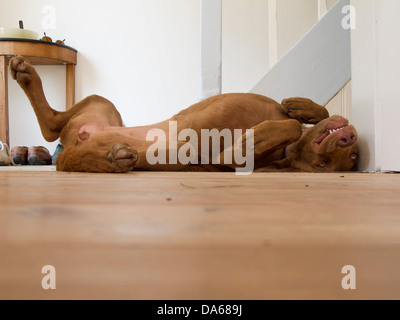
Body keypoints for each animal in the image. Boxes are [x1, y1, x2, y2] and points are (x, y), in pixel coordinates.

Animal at [9, 56, 360, 174]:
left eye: (323, 165)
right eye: (355, 154)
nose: (350, 138)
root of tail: (72, 147)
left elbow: (289, 127)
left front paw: (246, 142)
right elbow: (301, 118)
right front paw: (302, 106)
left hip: (100, 117)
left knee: (54, 132)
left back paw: (112, 157)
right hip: (103, 102)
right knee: (51, 125)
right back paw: (25, 73)